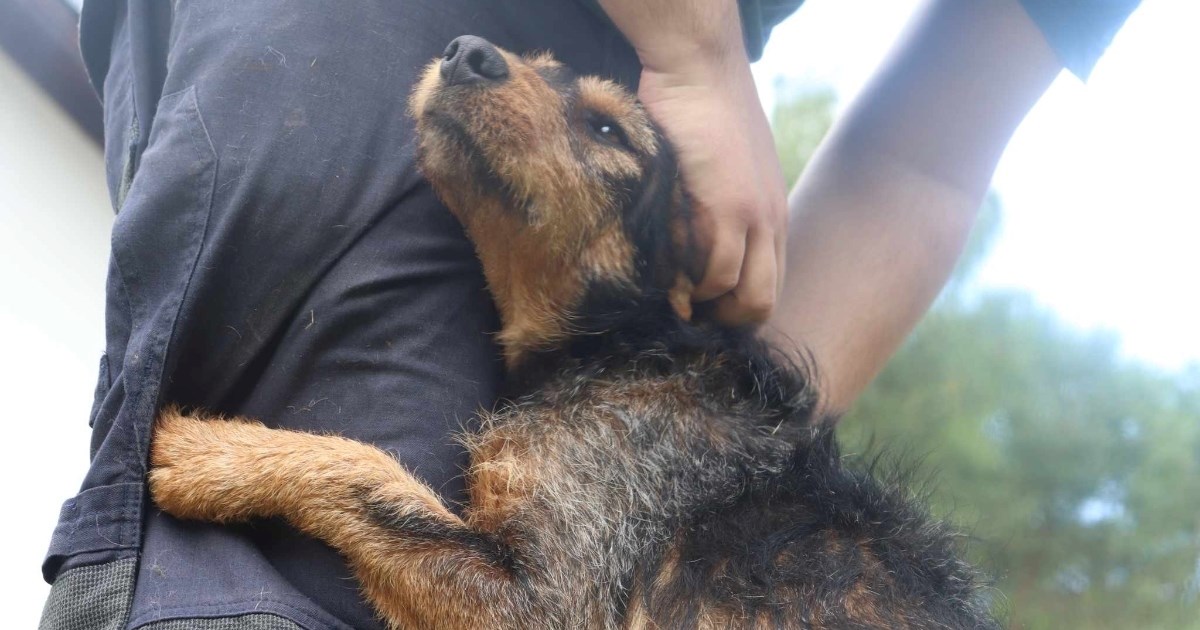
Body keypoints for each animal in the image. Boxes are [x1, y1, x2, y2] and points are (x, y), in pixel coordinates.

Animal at [145, 36, 998, 624]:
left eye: (607, 130)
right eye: (536, 63)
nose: (467, 51)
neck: (620, 347)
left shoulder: (548, 601)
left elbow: (365, 473)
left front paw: (202, 452)